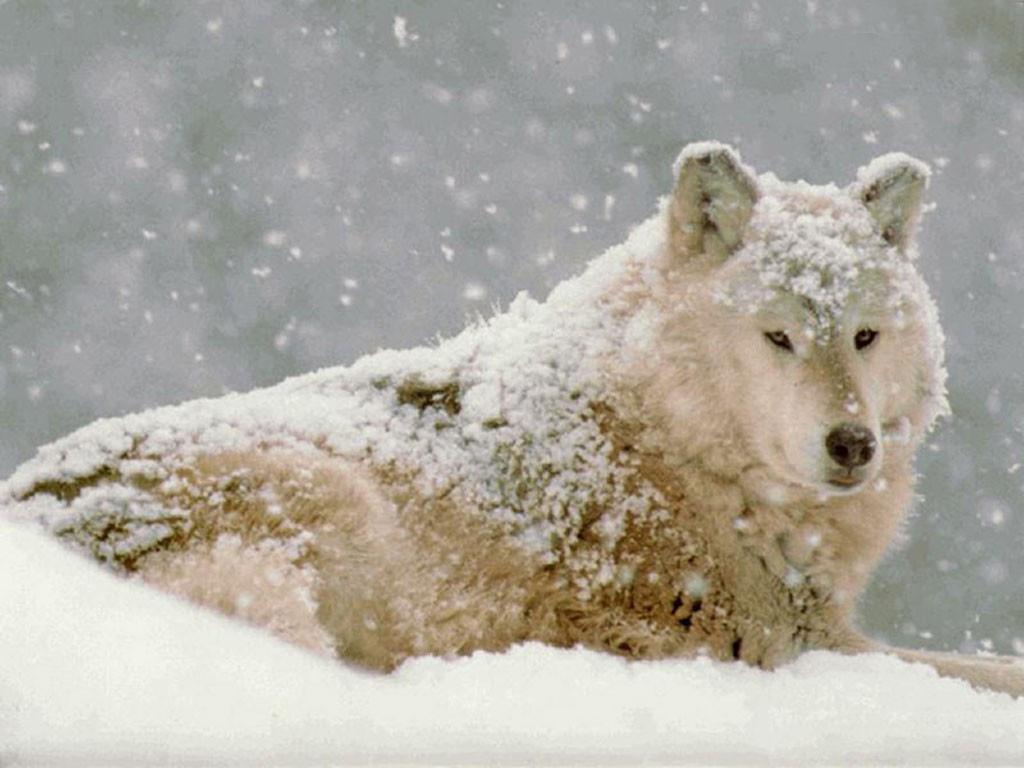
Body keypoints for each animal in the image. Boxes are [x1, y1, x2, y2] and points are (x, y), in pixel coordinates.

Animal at [3, 142, 1022, 695]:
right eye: (777, 337)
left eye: (864, 336)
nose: (853, 444)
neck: (673, 442)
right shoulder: (791, 644)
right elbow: (979, 670)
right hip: (320, 496)